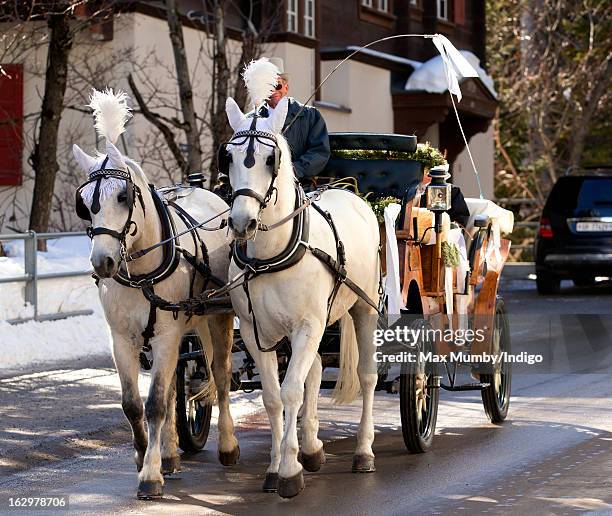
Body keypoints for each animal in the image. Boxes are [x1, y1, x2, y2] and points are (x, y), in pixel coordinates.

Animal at [74, 88, 239, 500]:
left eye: (123, 196)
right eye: (85, 202)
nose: (102, 261)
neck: (141, 274)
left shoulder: (166, 334)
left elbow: (155, 405)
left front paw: (149, 476)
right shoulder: (122, 338)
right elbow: (134, 404)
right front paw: (143, 456)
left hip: (218, 316)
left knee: (220, 375)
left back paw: (228, 446)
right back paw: (171, 453)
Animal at [222, 58, 380, 498]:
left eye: (269, 159)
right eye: (229, 158)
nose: (241, 222)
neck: (271, 255)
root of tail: (348, 192)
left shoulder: (308, 325)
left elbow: (291, 390)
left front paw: (290, 472)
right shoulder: (257, 331)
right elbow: (274, 397)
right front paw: (278, 465)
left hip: (364, 309)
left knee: (367, 376)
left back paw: (363, 451)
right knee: (314, 371)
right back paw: (312, 446)